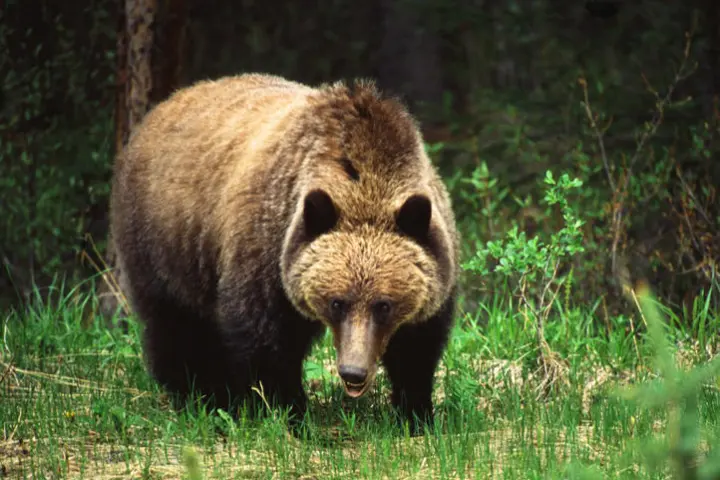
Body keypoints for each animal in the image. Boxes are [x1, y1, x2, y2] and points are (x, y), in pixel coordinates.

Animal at [109, 72, 460, 433]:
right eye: (337, 302)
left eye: (384, 305)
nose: (353, 372)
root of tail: (162, 107)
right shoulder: (267, 252)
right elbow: (266, 343)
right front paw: (288, 412)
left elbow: (417, 348)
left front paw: (417, 414)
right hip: (165, 244)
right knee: (175, 325)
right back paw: (200, 395)